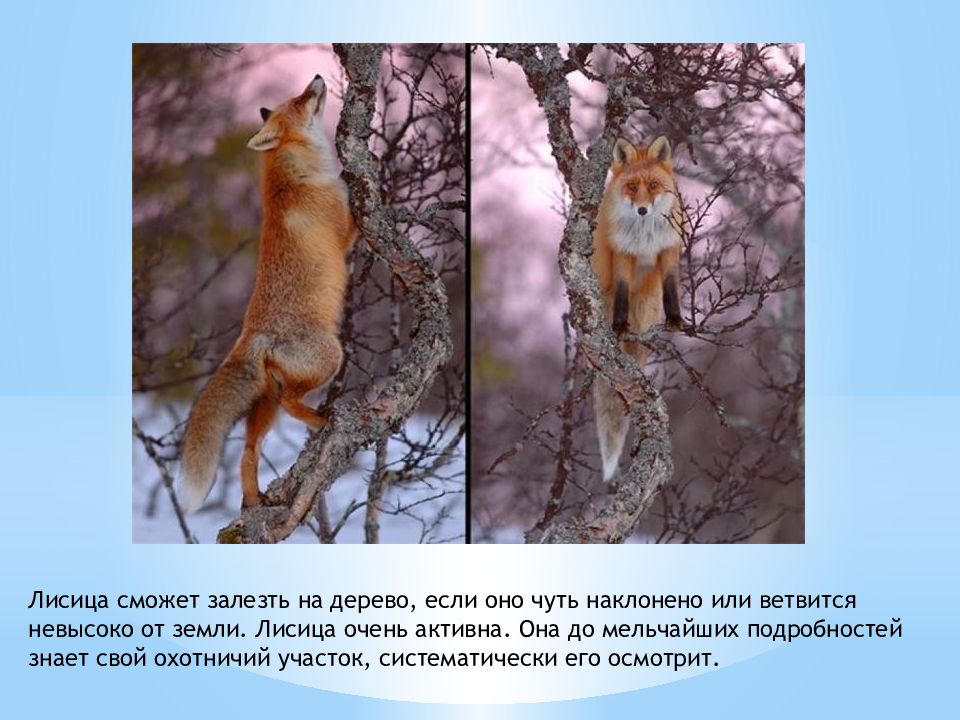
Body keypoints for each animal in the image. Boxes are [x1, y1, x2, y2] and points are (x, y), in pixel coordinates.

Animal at [179, 75, 356, 513]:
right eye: (298, 101)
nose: (317, 78)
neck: (295, 179)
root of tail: (251, 336)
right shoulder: (347, 231)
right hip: (329, 358)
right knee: (293, 407)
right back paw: (321, 421)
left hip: (265, 408)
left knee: (248, 452)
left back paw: (253, 501)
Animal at [592, 135, 683, 482]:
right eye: (632, 186)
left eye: (654, 185)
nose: (643, 210)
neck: (645, 237)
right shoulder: (623, 254)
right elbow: (621, 291)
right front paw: (618, 324)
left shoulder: (669, 249)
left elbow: (672, 288)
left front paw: (676, 318)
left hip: (645, 310)